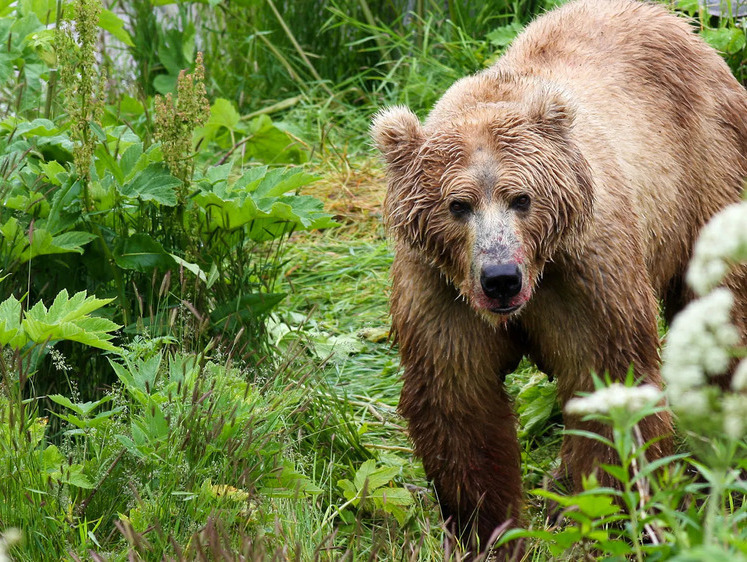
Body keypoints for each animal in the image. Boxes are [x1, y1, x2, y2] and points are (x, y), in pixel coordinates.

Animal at [372, 0, 747, 552]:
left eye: (521, 198)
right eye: (458, 205)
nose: (500, 277)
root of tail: (680, 24)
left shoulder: (586, 275)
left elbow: (608, 378)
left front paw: (606, 514)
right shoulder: (440, 293)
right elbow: (459, 402)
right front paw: (488, 529)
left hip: (706, 176)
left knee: (722, 309)